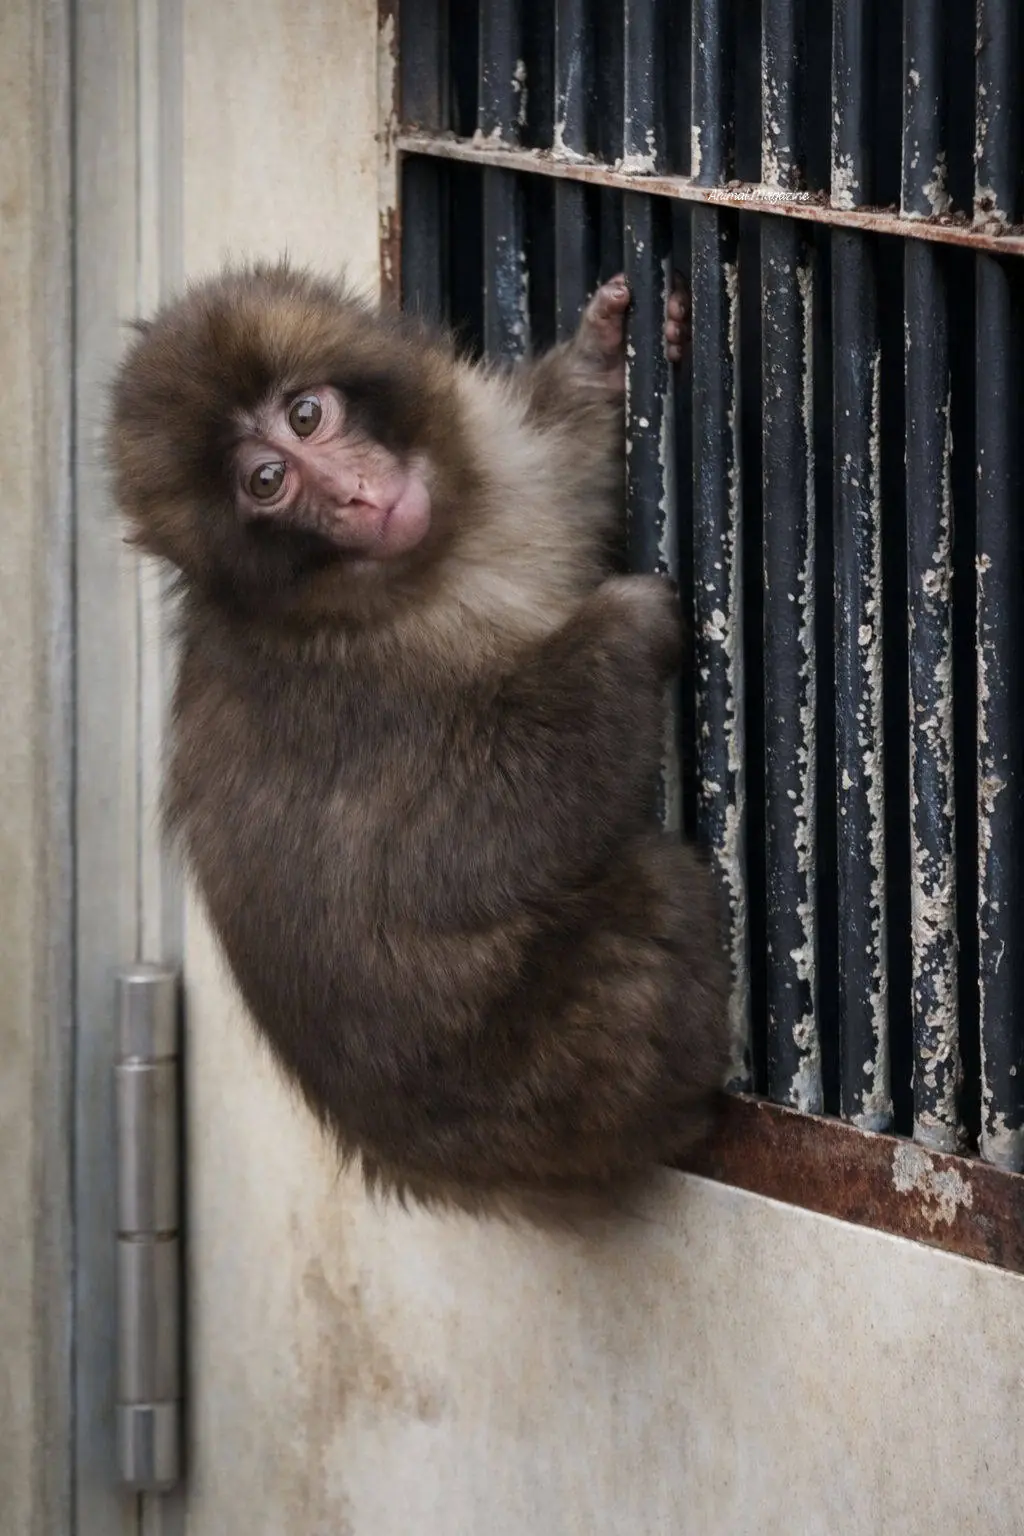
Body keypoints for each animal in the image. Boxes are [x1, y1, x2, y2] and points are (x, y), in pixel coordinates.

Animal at [109, 260, 729, 1223]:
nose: (353, 493)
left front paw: (606, 356)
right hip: (536, 1091)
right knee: (647, 912)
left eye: (305, 416)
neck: (415, 575)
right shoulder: (351, 694)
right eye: (267, 482)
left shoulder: (504, 470)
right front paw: (622, 632)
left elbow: (563, 463)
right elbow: (463, 841)